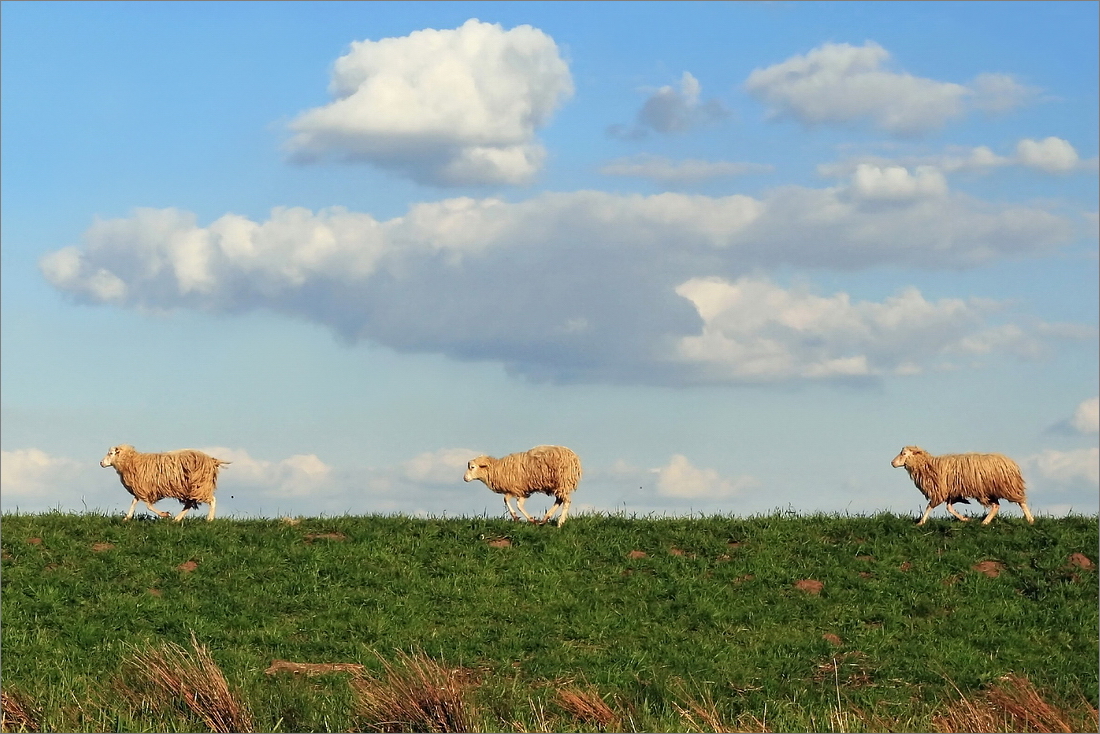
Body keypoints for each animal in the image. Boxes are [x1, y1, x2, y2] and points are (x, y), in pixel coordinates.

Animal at [101, 442, 229, 521]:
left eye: (110, 453)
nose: (101, 463)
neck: (131, 461)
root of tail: (211, 460)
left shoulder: (145, 488)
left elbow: (148, 506)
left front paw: (164, 514)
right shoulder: (140, 489)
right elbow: (134, 502)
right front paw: (127, 518)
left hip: (200, 485)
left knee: (212, 500)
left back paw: (209, 519)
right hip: (191, 488)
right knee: (189, 503)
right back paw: (176, 520)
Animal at [888, 444, 1034, 526]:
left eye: (904, 453)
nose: (892, 463)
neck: (928, 466)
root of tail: (1010, 462)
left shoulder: (939, 491)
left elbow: (930, 506)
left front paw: (920, 522)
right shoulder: (951, 492)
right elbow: (949, 508)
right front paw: (965, 519)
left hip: (1008, 487)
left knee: (1021, 502)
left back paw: (1030, 519)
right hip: (990, 490)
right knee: (996, 506)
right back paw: (985, 522)